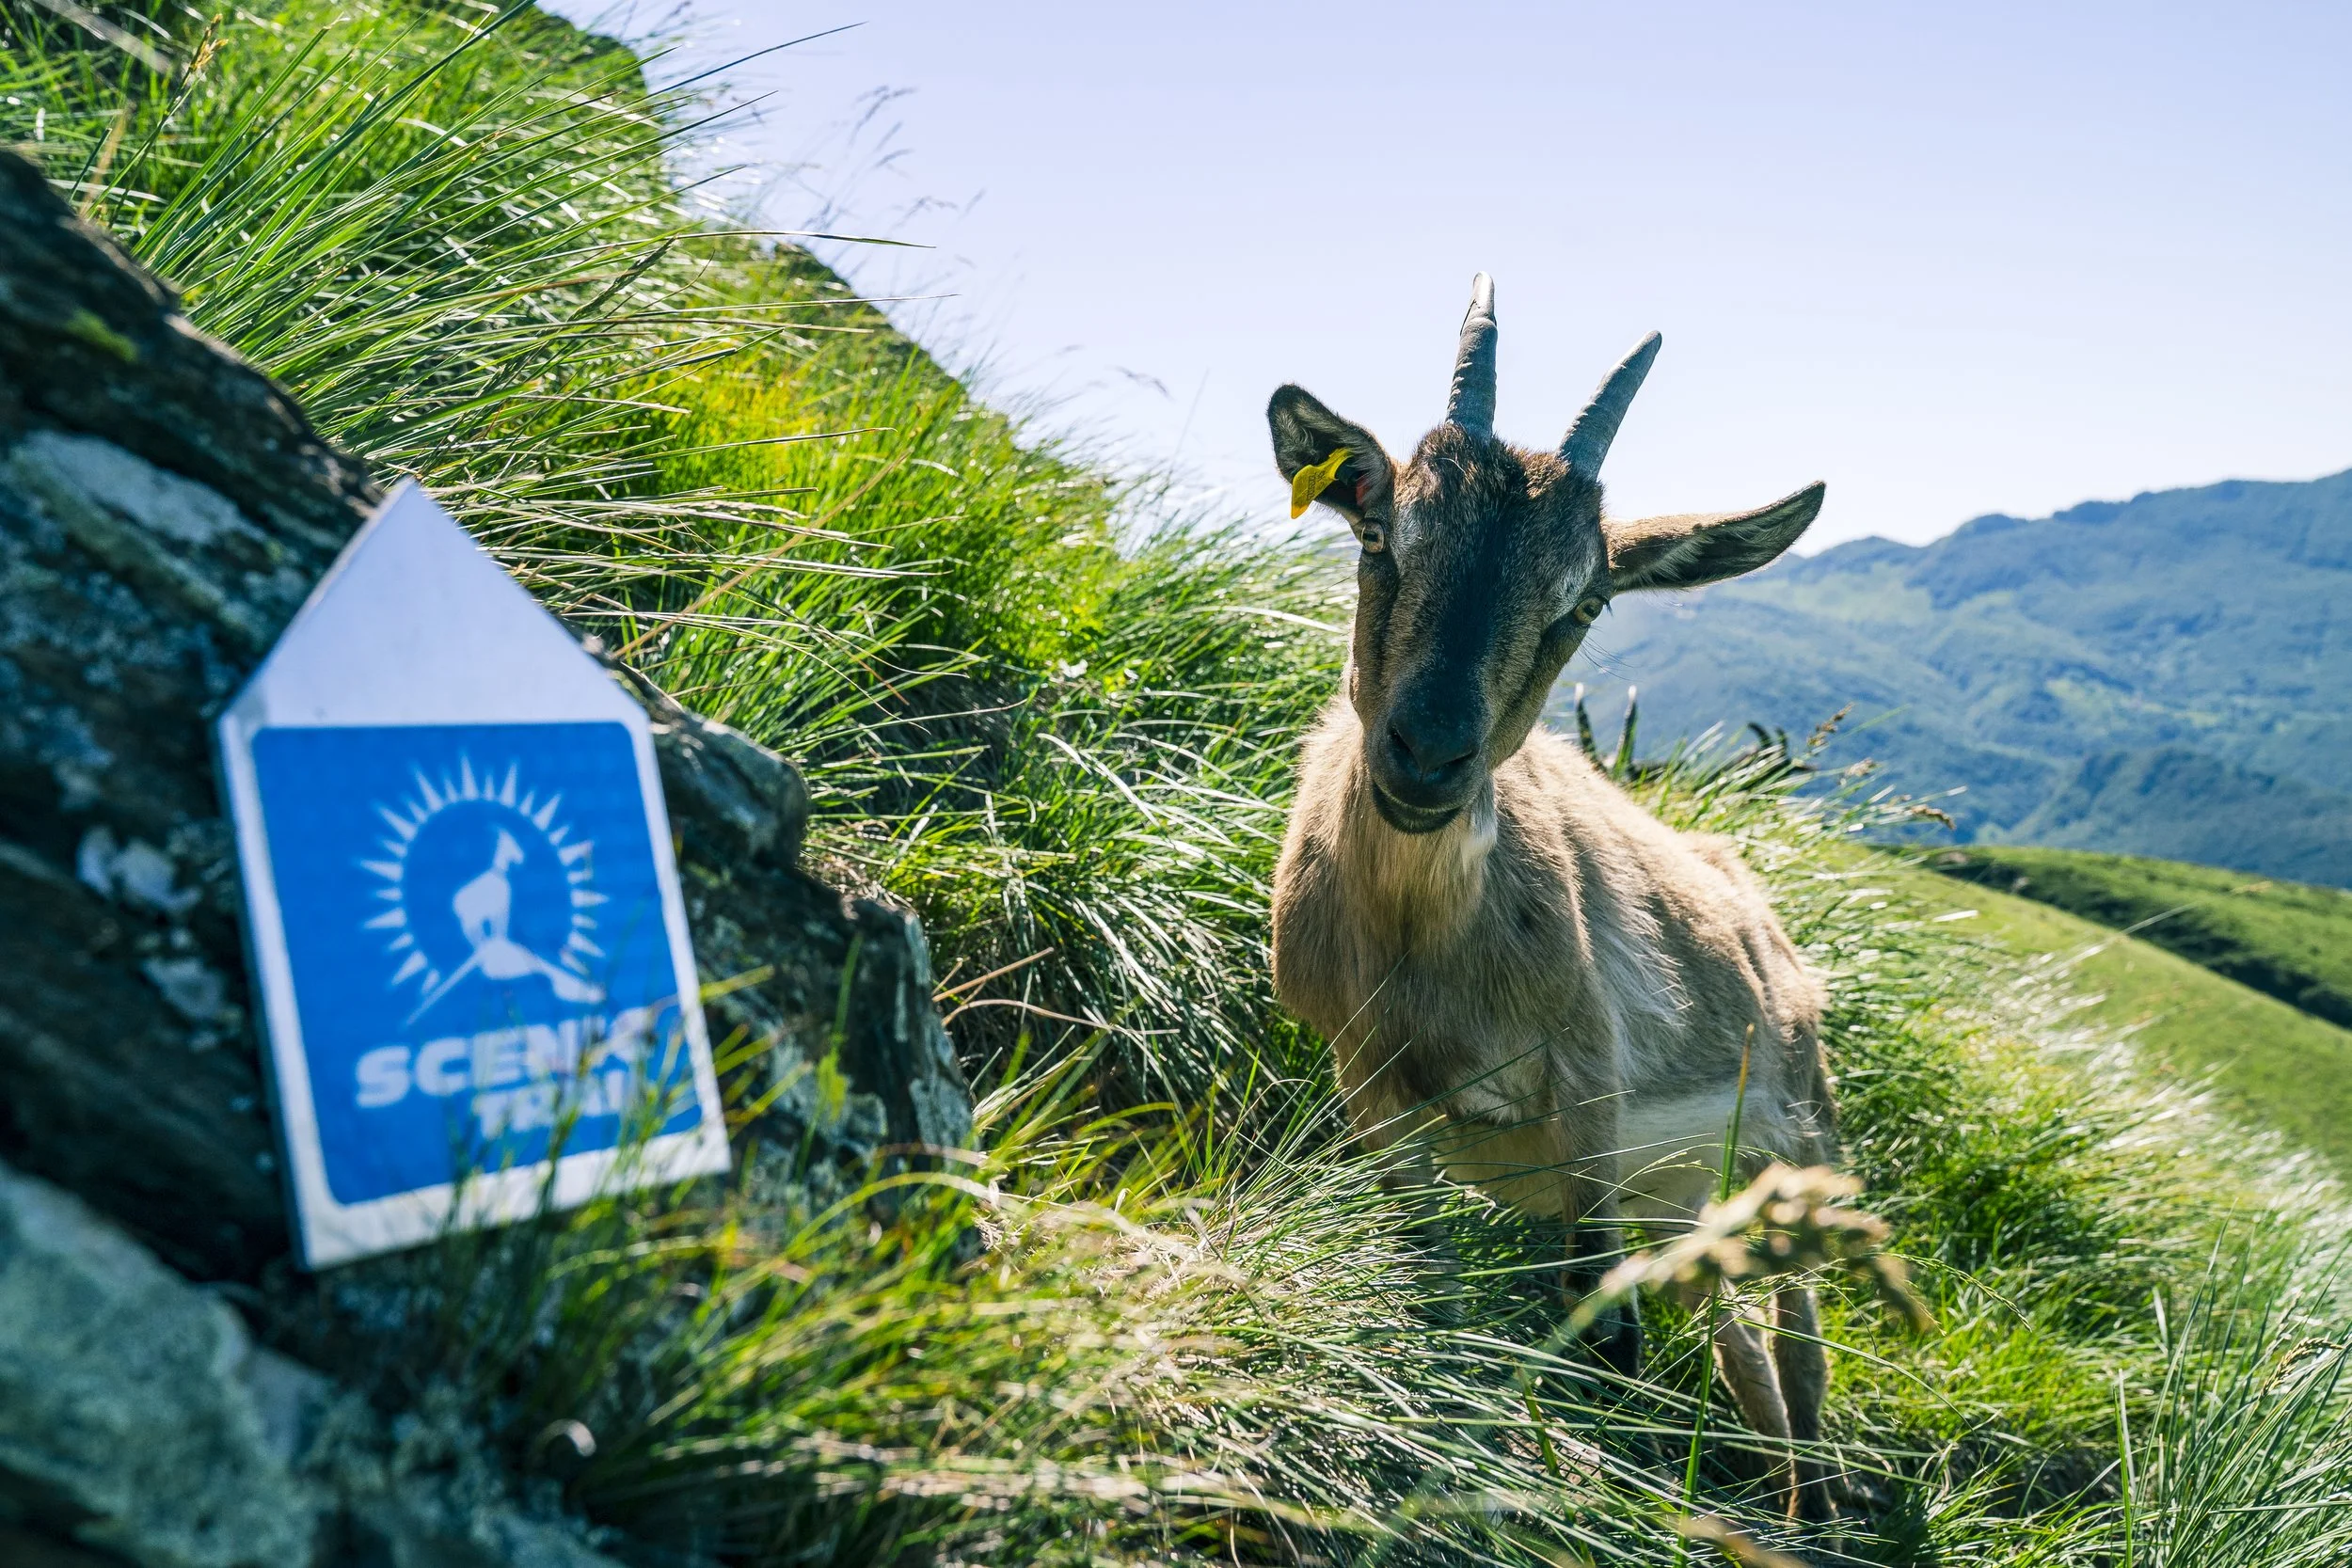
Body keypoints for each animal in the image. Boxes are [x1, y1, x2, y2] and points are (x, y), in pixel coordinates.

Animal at [1267, 275, 1839, 1517]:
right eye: (1381, 535)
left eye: (1586, 602)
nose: (1428, 755)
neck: (1421, 954)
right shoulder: (1370, 1088)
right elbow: (1423, 1271)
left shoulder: (1590, 1093)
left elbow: (1604, 1339)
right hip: (1687, 1195)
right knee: (1742, 1345)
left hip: (1798, 1131)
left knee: (1801, 1336)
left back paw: (1818, 1506)